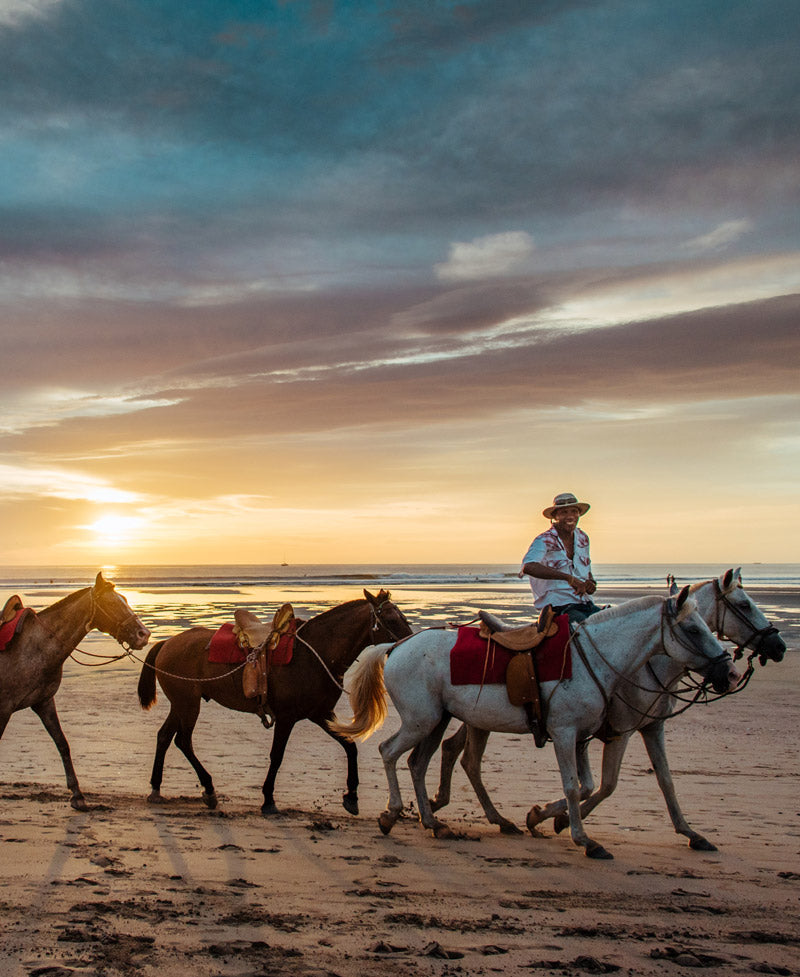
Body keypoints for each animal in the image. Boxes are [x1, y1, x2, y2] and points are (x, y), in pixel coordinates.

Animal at [0, 572, 152, 808]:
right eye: (111, 602)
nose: (143, 634)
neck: (33, 647)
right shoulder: (4, 708)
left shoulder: (44, 702)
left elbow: (62, 744)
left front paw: (77, 795)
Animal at [137, 592, 412, 812]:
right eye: (390, 619)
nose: (409, 642)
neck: (314, 653)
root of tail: (167, 642)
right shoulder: (287, 717)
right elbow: (277, 755)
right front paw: (268, 799)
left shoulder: (321, 714)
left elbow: (350, 746)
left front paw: (352, 796)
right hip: (188, 704)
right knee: (183, 741)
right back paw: (209, 788)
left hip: (181, 704)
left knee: (164, 736)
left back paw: (156, 788)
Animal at [330, 588, 736, 856]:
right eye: (694, 630)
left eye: (706, 625)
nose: (729, 673)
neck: (597, 659)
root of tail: (395, 647)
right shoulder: (567, 733)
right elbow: (575, 786)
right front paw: (582, 838)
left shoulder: (584, 736)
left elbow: (592, 784)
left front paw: (542, 817)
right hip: (421, 720)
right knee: (389, 752)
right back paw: (391, 814)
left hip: (437, 721)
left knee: (419, 763)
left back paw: (434, 823)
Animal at [432, 568, 788, 852]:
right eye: (744, 604)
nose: (779, 646)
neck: (649, 663)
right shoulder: (619, 731)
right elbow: (605, 784)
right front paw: (555, 819)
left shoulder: (650, 727)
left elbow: (664, 780)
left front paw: (690, 833)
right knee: (464, 757)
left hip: (480, 719)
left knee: (458, 753)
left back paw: (458, 807)